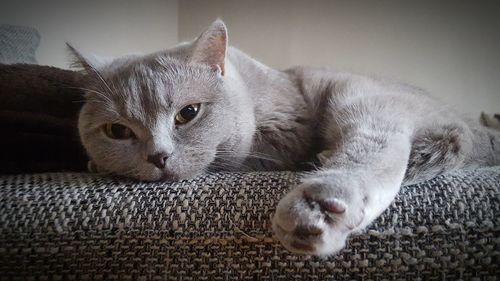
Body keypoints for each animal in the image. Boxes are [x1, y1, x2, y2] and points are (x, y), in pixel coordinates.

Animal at [68, 20, 498, 256]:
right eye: (118, 131)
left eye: (187, 113)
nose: (158, 156)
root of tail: (465, 125)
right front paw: (95, 160)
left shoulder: (287, 128)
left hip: (357, 95)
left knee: (377, 148)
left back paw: (318, 205)